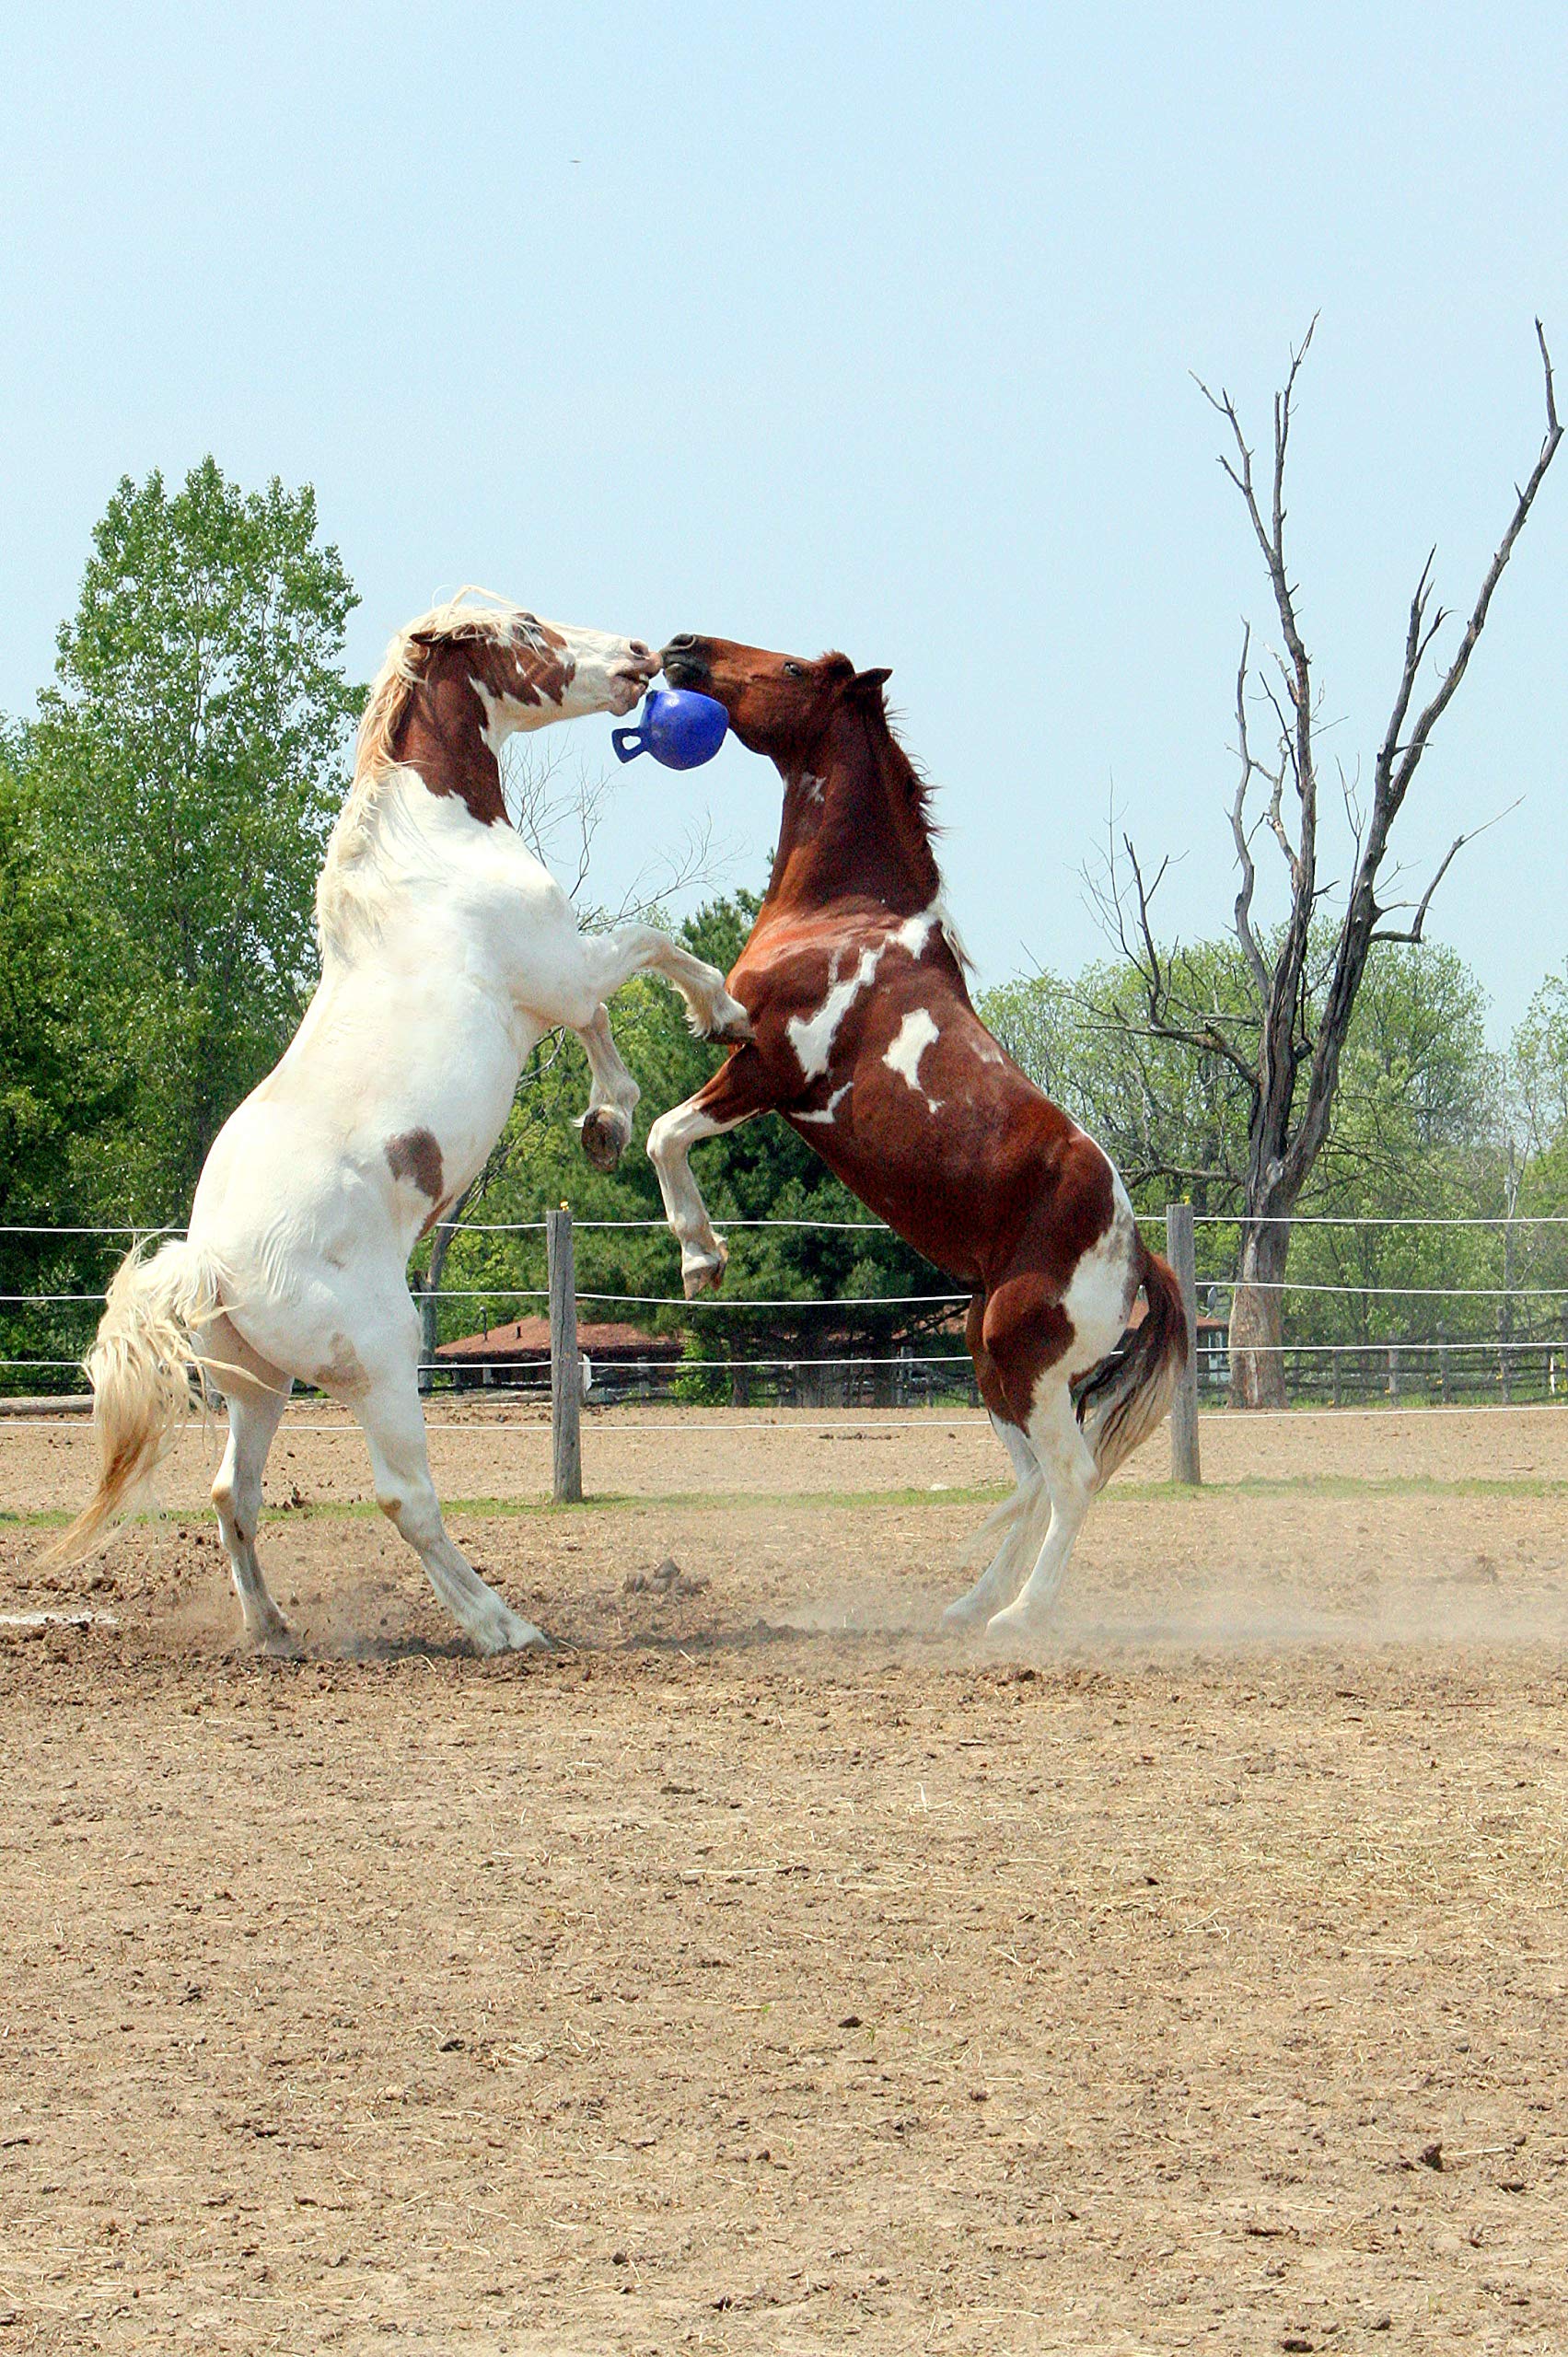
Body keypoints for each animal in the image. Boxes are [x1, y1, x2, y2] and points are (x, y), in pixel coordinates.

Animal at [53, 594, 751, 1655]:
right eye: (526, 625)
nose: (642, 655)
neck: (434, 851)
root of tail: (208, 1262)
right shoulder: (561, 970)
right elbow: (651, 947)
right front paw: (721, 1017)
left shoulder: (555, 989)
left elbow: (605, 1027)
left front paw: (605, 1123)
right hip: (384, 1365)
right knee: (403, 1498)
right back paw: (503, 1626)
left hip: (257, 1388)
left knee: (232, 1495)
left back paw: (274, 1632)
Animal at [648, 634, 1188, 1639]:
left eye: (789, 668)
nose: (683, 648)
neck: (844, 914)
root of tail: (1138, 1256)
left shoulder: (770, 1071)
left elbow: (666, 1133)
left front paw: (702, 1259)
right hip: (991, 1361)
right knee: (1032, 1482)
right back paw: (969, 1605)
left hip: (1022, 1359)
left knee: (1071, 1479)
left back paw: (1021, 1617)